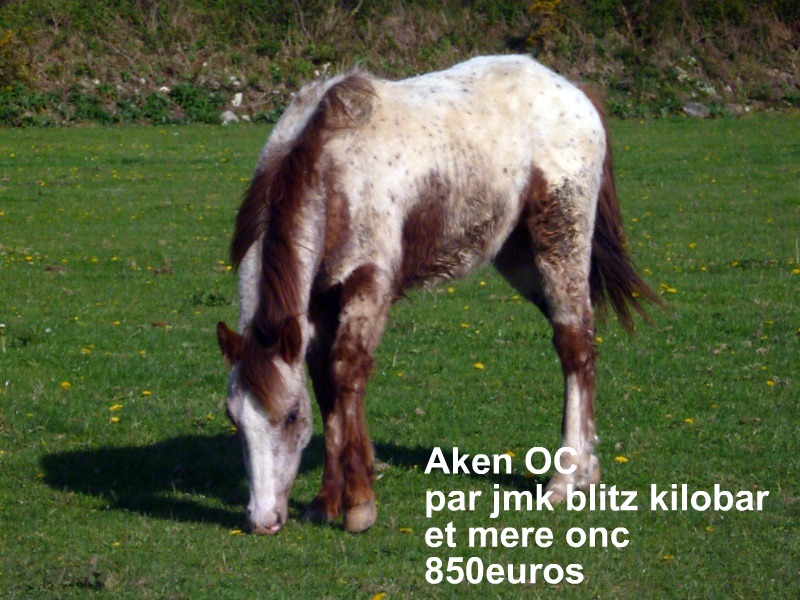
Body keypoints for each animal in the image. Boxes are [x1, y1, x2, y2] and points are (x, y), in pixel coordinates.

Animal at [214, 55, 656, 536]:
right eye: (234, 417)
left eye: (292, 415)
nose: (263, 519)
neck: (328, 169)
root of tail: (577, 93)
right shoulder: (317, 307)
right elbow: (327, 387)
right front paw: (327, 501)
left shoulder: (368, 283)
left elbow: (347, 373)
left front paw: (358, 505)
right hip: (520, 257)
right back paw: (588, 470)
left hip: (560, 244)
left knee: (575, 345)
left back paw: (565, 479)